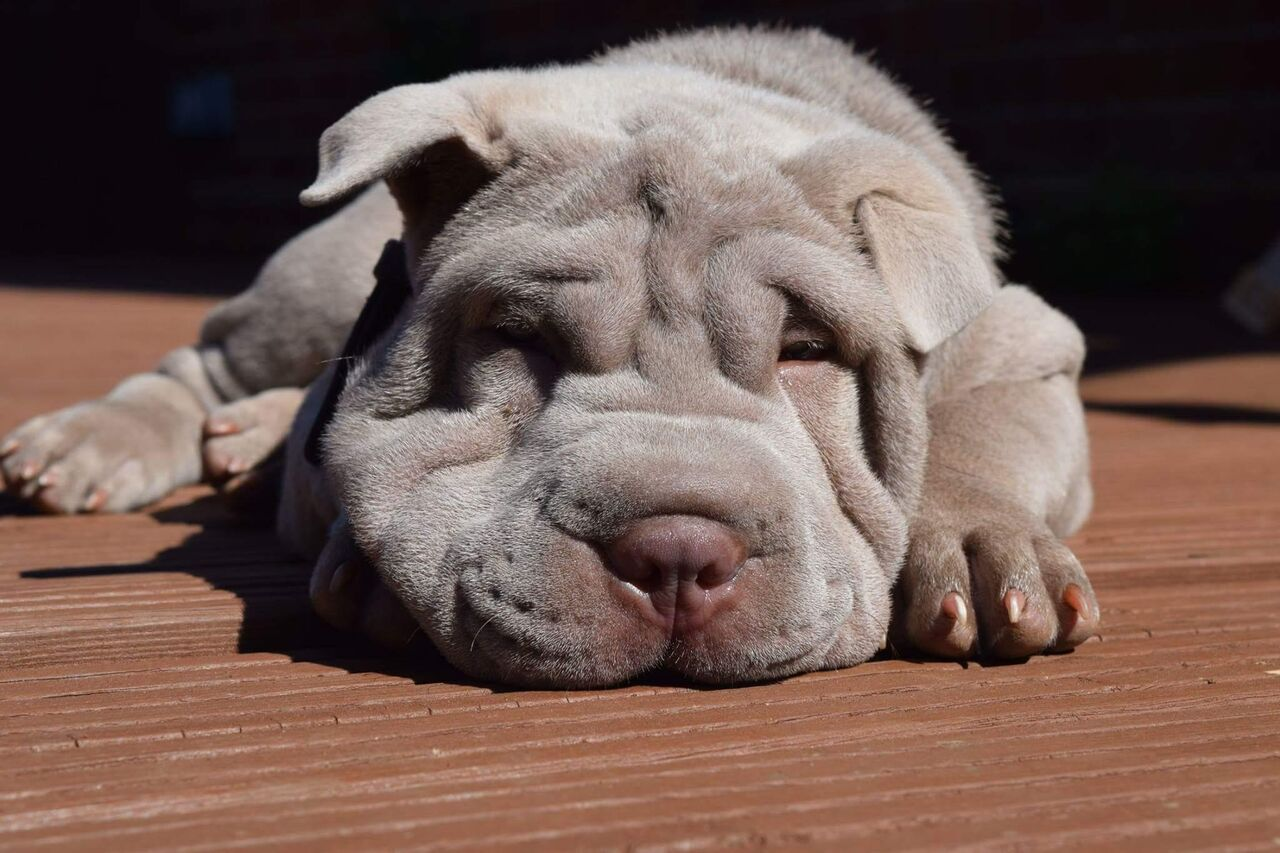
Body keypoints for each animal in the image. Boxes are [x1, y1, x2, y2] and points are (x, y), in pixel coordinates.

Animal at [2, 28, 1100, 686]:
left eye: (807, 351)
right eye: (517, 338)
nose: (675, 550)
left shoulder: (1016, 340)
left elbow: (978, 428)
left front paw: (976, 545)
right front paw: (367, 568)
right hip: (311, 282)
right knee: (209, 363)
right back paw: (98, 443)